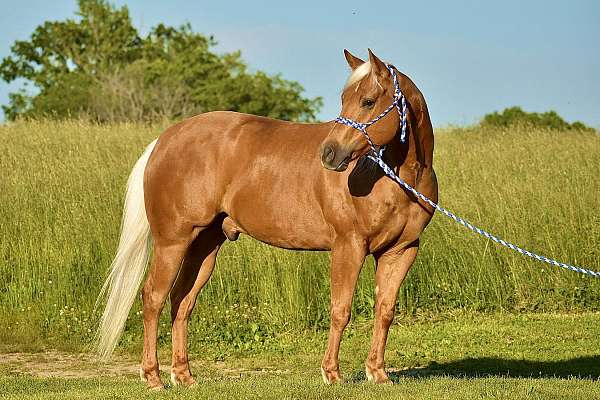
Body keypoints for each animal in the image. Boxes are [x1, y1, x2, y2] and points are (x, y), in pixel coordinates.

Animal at [97, 48, 436, 390]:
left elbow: (385, 311)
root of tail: (163, 140)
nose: (329, 154)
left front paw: (377, 373)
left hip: (203, 246)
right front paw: (331, 373)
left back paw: (183, 375)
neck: (394, 178)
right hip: (172, 242)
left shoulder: (401, 251)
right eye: (344, 99)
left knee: (182, 300)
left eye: (367, 101)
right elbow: (341, 310)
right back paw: (153, 377)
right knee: (153, 297)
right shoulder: (348, 247)